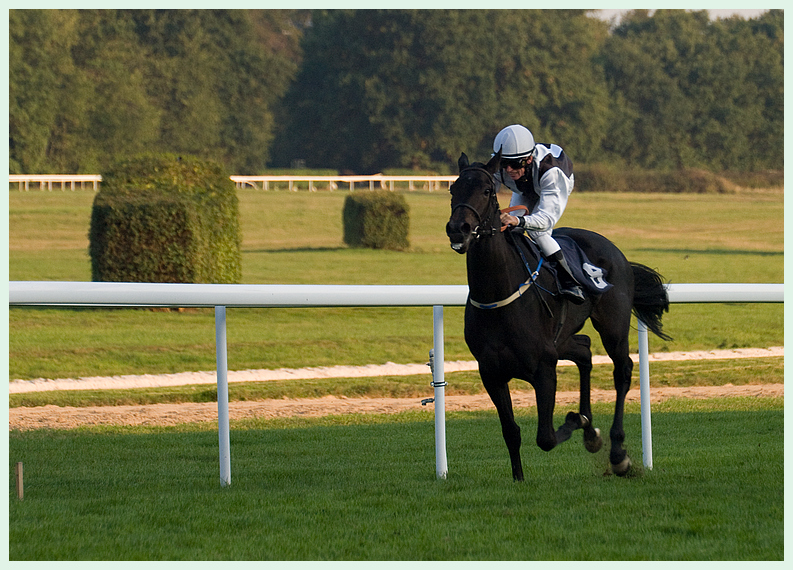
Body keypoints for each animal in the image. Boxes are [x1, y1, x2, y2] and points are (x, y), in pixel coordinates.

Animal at [446, 149, 668, 478]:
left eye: (486, 191)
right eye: (453, 189)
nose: (457, 228)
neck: (498, 296)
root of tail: (616, 251)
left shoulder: (543, 368)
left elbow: (546, 437)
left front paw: (577, 421)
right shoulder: (491, 372)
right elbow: (511, 432)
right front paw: (519, 478)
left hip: (613, 326)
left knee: (622, 370)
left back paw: (617, 452)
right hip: (562, 338)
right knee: (585, 350)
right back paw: (591, 430)